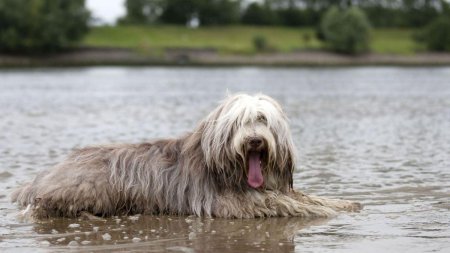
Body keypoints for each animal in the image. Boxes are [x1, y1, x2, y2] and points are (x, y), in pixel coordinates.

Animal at [11, 94, 362, 218]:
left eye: (262, 120)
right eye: (239, 122)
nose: (254, 141)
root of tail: (41, 178)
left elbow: (304, 196)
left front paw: (344, 203)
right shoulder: (226, 202)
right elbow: (281, 202)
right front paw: (322, 210)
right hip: (93, 188)